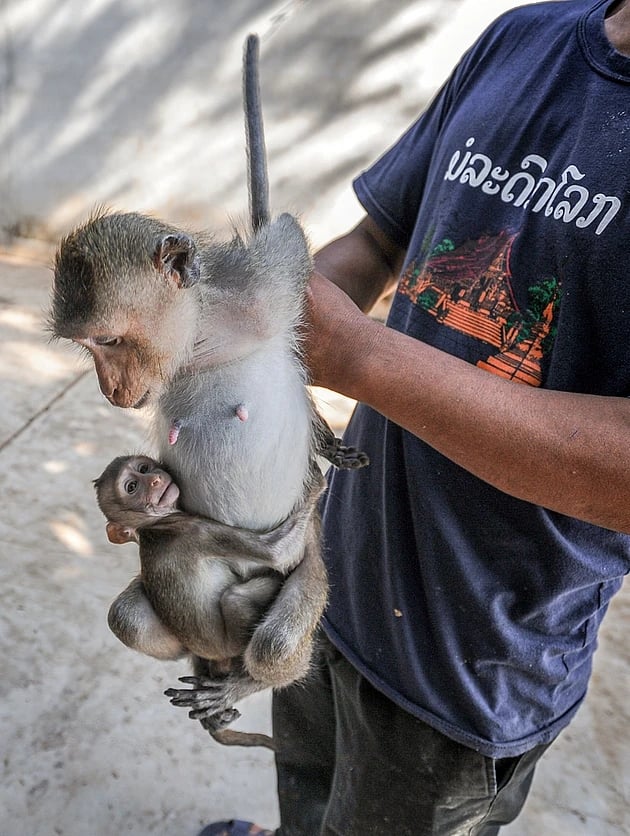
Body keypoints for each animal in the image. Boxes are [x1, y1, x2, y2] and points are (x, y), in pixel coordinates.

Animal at [98, 454, 326, 748]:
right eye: (132, 487)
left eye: (143, 468)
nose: (155, 479)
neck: (155, 526)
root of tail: (217, 656)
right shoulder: (200, 529)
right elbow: (276, 552)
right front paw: (317, 480)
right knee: (263, 632)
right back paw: (247, 682)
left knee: (125, 617)